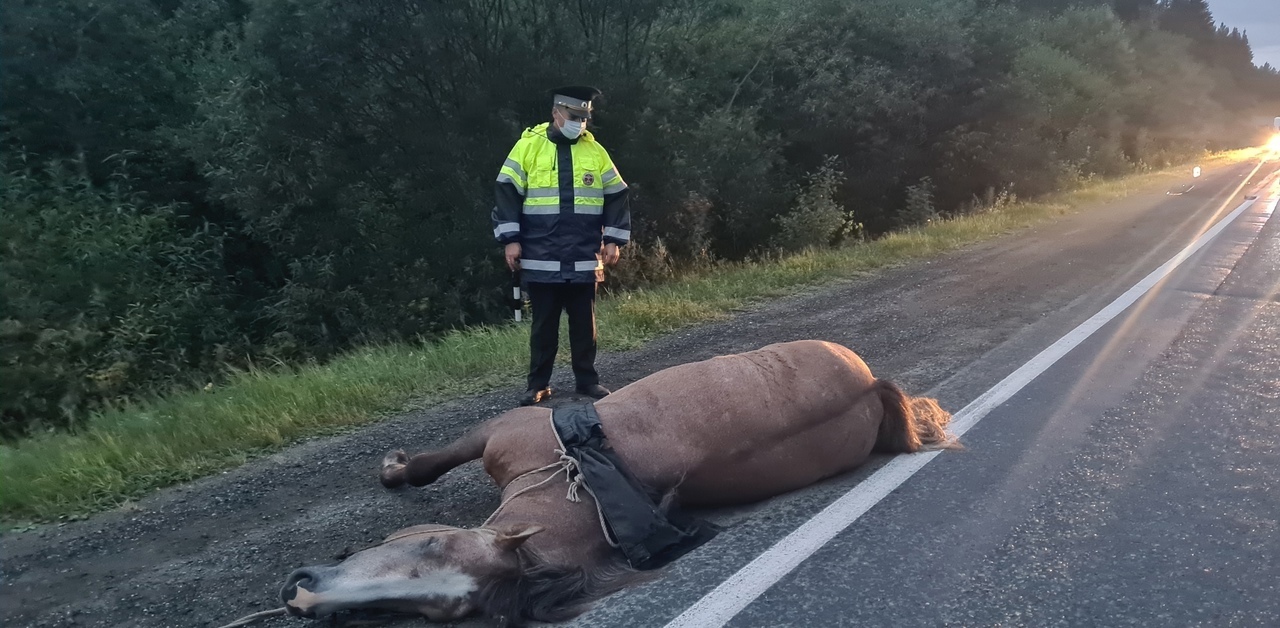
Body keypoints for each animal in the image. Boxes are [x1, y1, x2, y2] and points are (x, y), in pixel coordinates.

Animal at [280, 342, 962, 626]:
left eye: (433, 547)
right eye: (431, 608)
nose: (300, 595)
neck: (583, 479)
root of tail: (869, 383)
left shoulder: (499, 433)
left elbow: (430, 463)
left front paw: (395, 469)